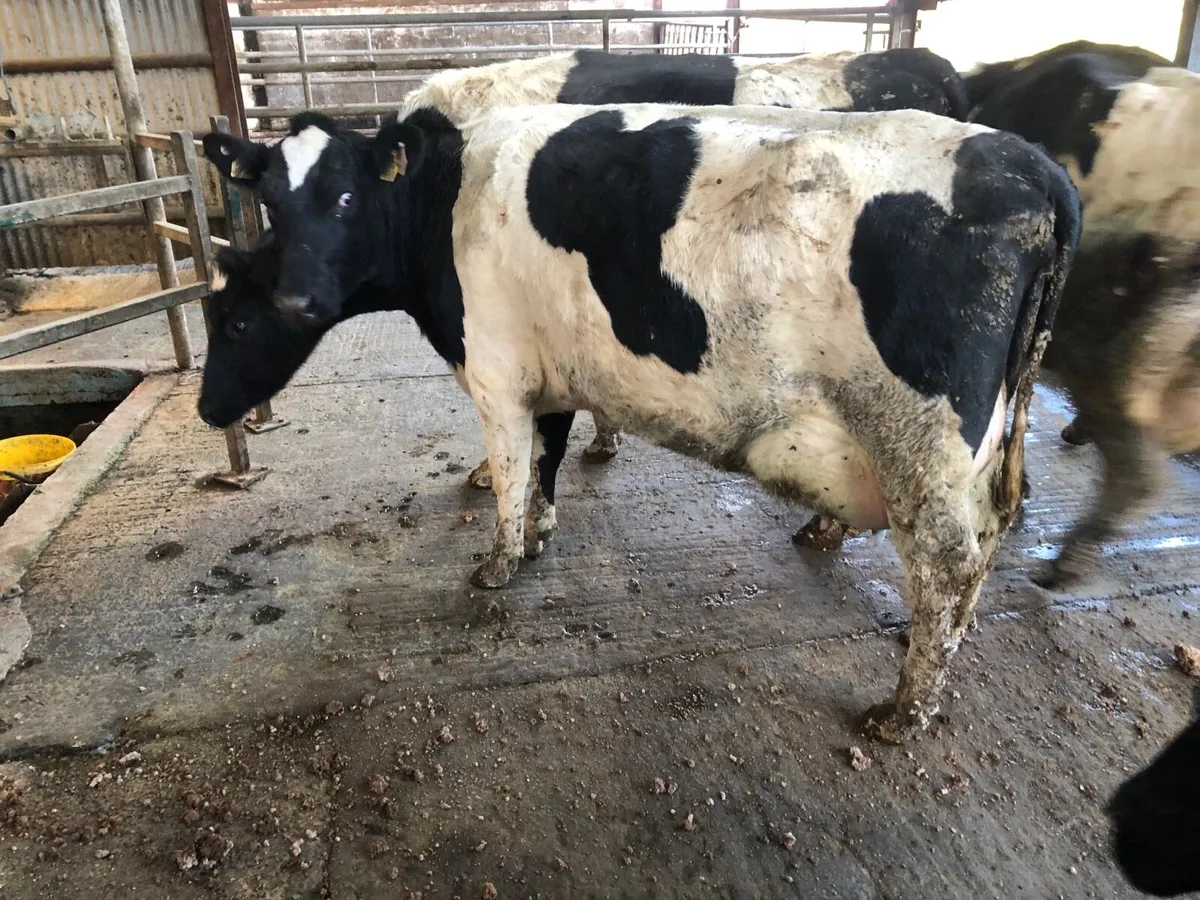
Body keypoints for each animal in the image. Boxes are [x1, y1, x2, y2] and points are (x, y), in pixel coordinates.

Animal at [195, 101, 1080, 741]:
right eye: (269, 203)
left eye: (345, 197)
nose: (294, 298)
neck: (442, 202)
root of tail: (1035, 167)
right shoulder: (549, 367)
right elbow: (547, 455)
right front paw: (542, 531)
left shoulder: (496, 372)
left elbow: (509, 467)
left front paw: (498, 562)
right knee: (987, 538)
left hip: (922, 442)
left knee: (947, 562)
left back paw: (905, 711)